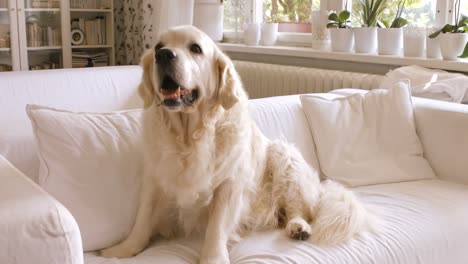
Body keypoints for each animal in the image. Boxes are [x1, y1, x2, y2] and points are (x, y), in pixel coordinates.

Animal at [100, 25, 372, 264]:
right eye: (158, 46)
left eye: (195, 48)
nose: (164, 55)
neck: (188, 136)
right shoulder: (155, 179)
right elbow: (143, 219)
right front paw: (123, 250)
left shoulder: (228, 184)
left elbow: (216, 227)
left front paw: (212, 258)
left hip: (284, 157)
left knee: (299, 209)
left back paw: (298, 227)